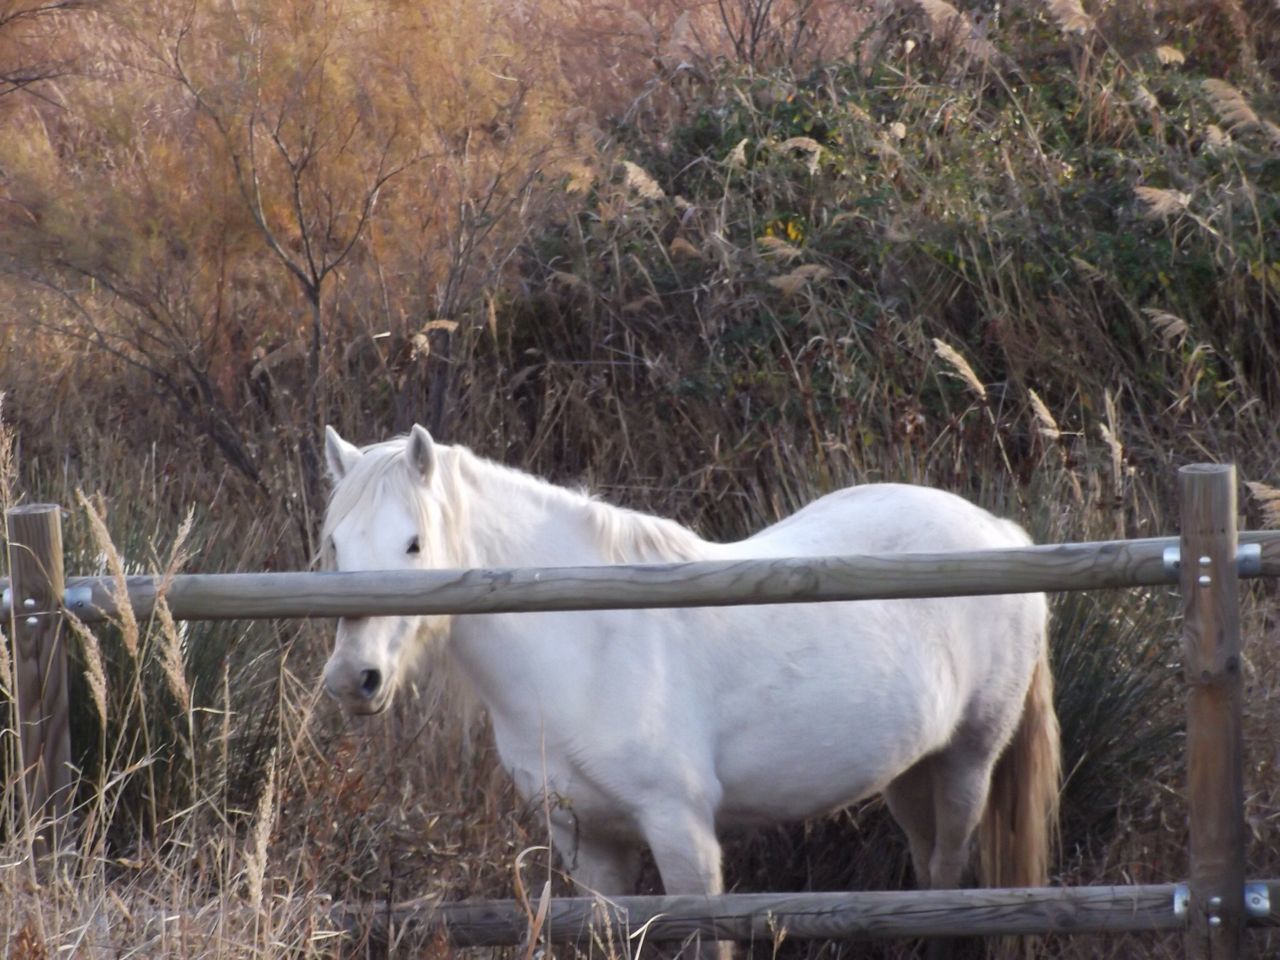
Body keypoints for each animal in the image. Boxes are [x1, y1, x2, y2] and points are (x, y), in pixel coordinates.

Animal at [317, 427, 1059, 911]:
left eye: (414, 544)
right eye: (335, 546)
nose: (355, 679)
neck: (584, 644)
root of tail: (1001, 532)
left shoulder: (683, 834)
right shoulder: (588, 844)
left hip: (968, 763)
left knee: (950, 869)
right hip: (908, 772)